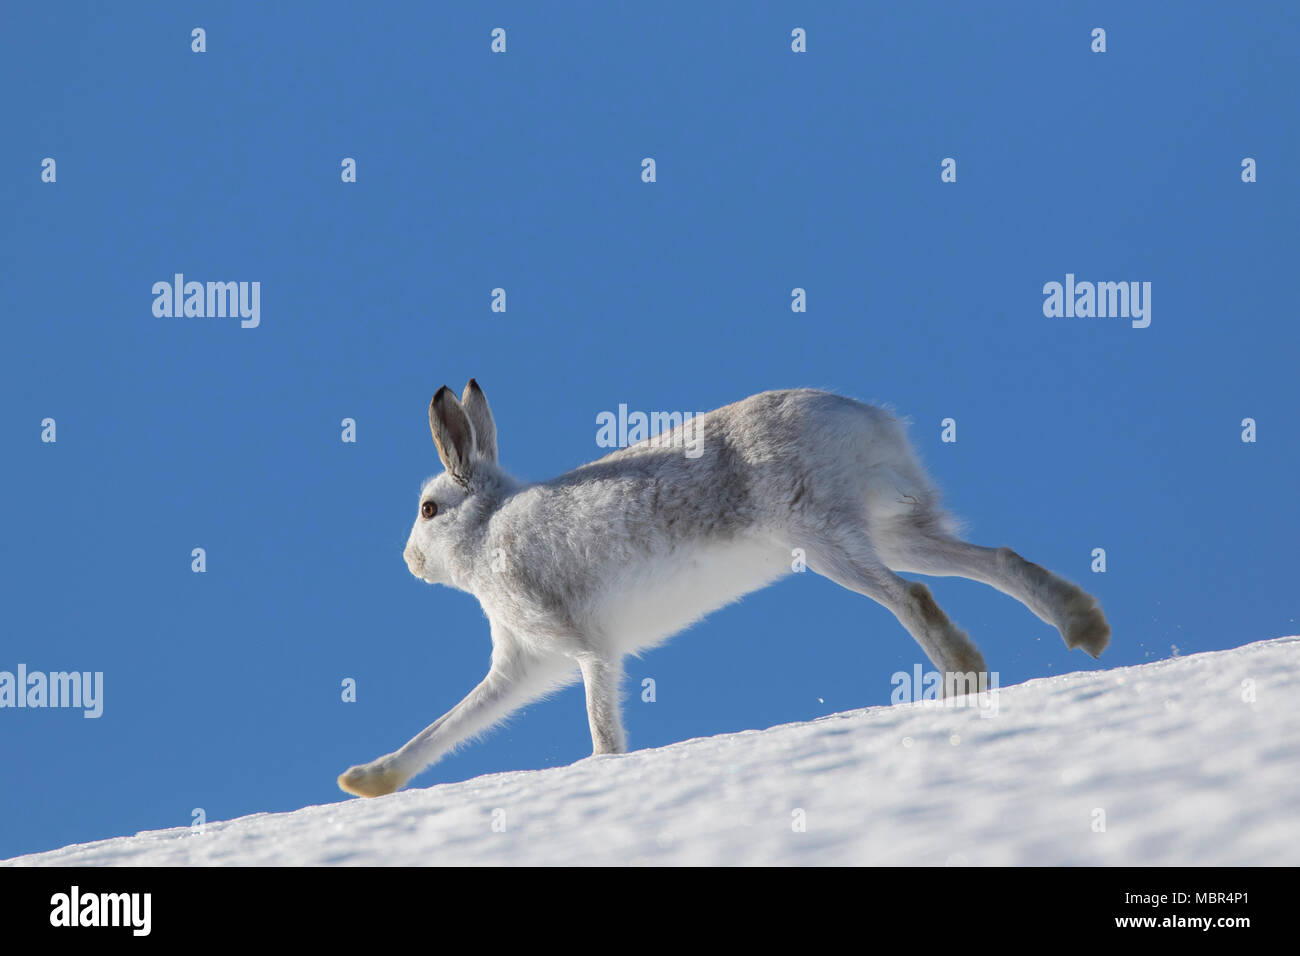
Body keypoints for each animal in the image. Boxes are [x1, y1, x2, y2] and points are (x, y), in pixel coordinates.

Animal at [337, 380, 1110, 797]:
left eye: (428, 509)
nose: (410, 561)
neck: (487, 525)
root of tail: (865, 419)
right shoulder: (523, 665)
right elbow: (453, 723)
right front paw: (367, 781)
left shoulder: (578, 642)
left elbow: (599, 717)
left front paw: (603, 768)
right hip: (889, 528)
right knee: (993, 559)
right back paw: (1082, 628)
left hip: (819, 535)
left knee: (912, 597)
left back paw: (960, 680)